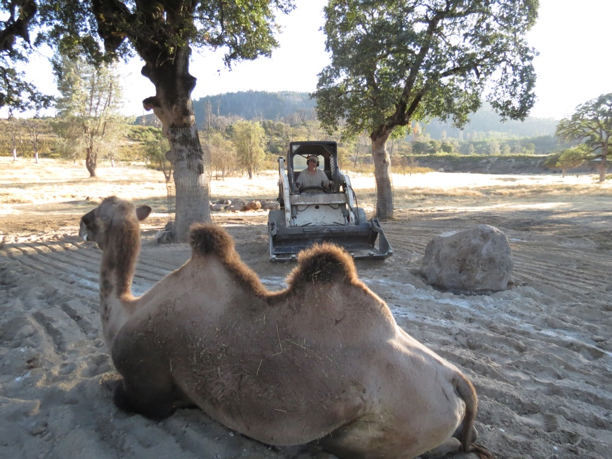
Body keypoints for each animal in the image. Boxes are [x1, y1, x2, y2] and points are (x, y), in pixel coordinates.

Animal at [80, 196, 492, 458]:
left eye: (96, 212)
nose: (82, 223)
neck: (124, 311)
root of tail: (456, 380)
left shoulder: (149, 391)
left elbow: (117, 392)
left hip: (392, 427)